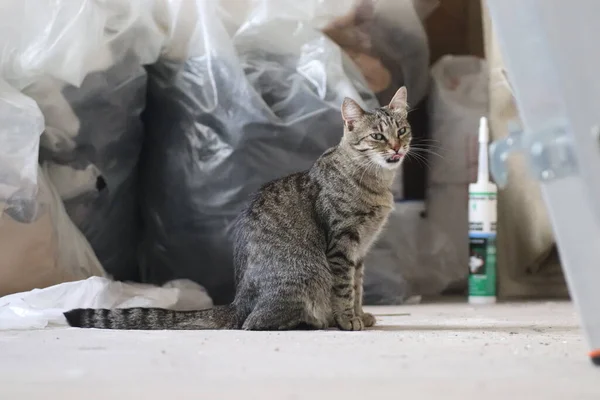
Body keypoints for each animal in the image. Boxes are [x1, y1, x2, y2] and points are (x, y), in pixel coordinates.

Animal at [64, 87, 412, 332]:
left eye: (402, 130)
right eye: (377, 136)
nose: (397, 147)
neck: (375, 182)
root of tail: (237, 301)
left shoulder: (360, 252)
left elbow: (357, 286)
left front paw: (361, 314)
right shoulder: (342, 245)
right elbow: (343, 289)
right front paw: (346, 318)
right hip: (307, 274)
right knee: (254, 323)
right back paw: (315, 321)